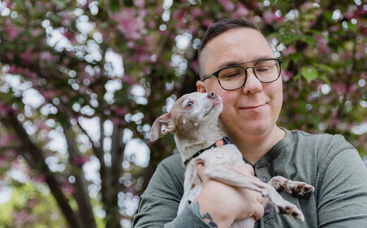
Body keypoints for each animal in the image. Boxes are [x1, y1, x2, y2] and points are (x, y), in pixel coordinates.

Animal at [150, 91, 314, 227]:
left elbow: (275, 179)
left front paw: (296, 186)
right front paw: (285, 205)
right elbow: (266, 186)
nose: (212, 93)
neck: (210, 146)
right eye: (189, 103)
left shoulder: (258, 204)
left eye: (201, 92)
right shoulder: (217, 169)